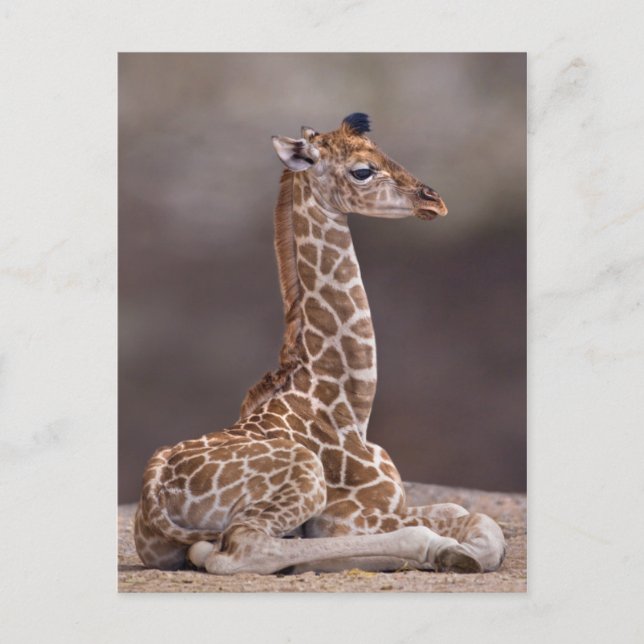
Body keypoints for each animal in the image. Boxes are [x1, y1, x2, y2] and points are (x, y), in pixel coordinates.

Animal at [133, 113, 506, 576]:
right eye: (363, 170)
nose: (434, 201)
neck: (350, 407)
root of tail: (154, 487)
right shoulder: (355, 517)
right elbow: (471, 522)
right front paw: (452, 551)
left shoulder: (394, 506)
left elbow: (472, 516)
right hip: (304, 476)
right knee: (242, 547)